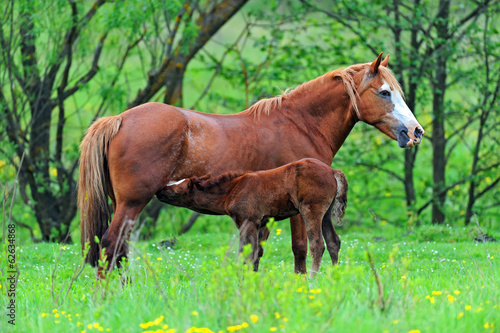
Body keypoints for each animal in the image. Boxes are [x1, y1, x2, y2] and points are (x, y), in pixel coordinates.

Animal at [160, 157, 348, 276]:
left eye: (176, 190)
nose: (159, 190)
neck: (232, 190)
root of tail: (333, 170)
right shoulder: (260, 224)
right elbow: (256, 253)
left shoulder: (248, 221)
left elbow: (246, 253)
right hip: (326, 214)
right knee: (333, 242)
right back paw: (335, 277)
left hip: (311, 210)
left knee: (317, 245)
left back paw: (312, 280)